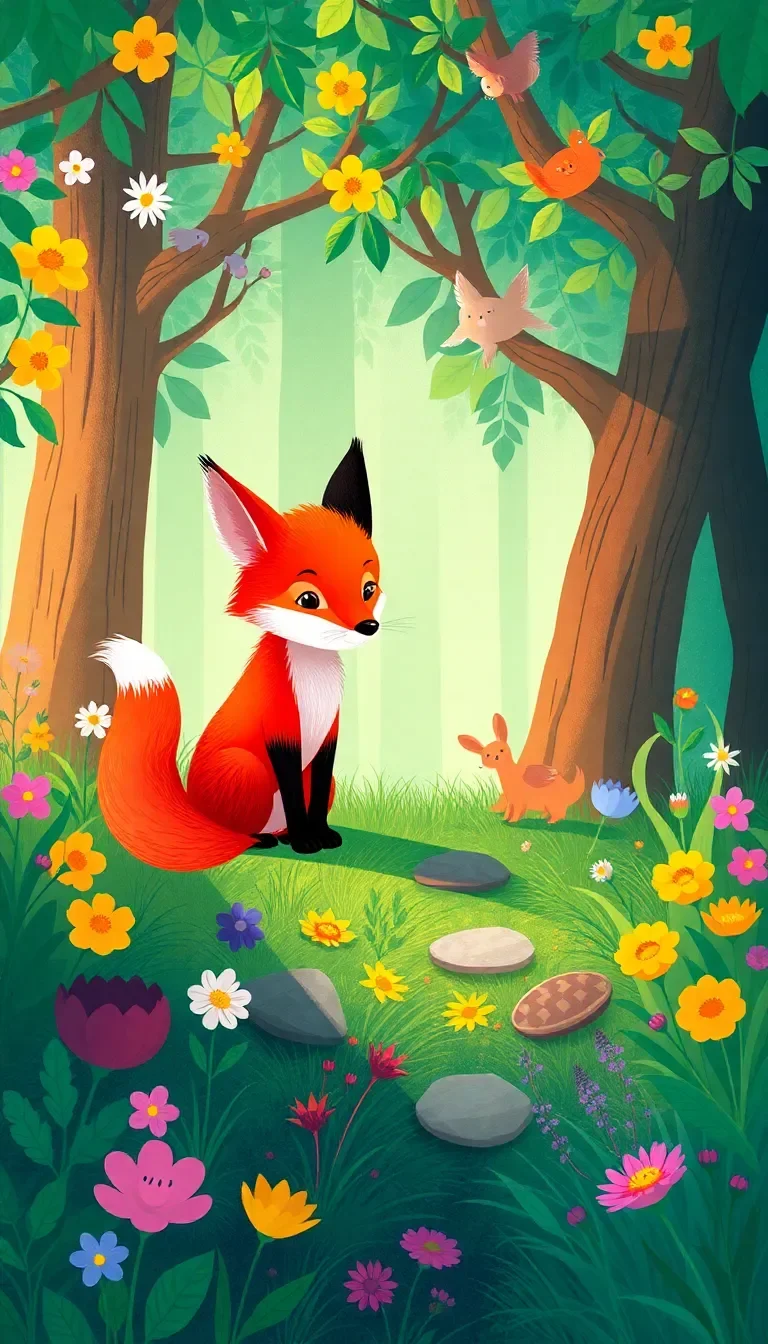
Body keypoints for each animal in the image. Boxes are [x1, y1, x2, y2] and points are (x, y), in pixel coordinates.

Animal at [94, 439, 383, 871]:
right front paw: (306, 842)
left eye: (368, 589)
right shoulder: (281, 731)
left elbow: (314, 799)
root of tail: (195, 809)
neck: (314, 684)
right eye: (308, 600)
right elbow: (296, 799)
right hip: (246, 770)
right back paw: (266, 839)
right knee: (238, 832)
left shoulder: (328, 737)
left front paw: (321, 835)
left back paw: (284, 836)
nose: (367, 627)